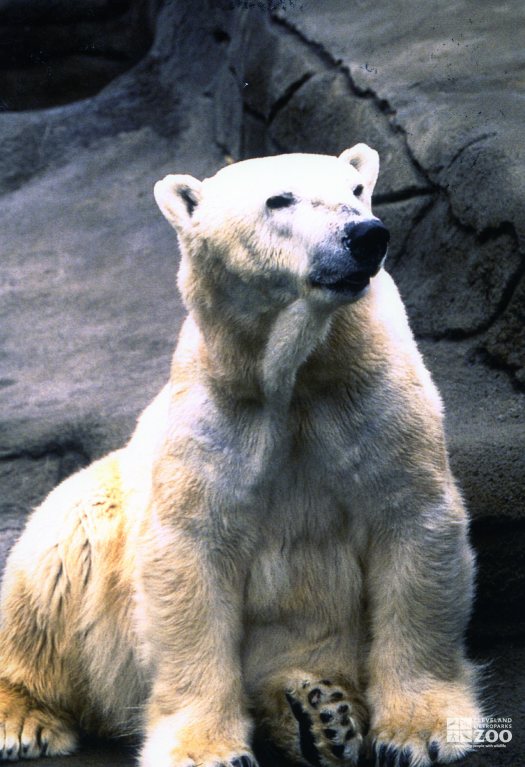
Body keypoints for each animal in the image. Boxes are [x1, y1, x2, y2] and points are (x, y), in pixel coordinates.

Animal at [0, 146, 482, 767]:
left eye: (356, 190)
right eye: (280, 198)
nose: (365, 235)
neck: (297, 380)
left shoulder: (376, 396)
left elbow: (413, 523)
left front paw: (418, 731)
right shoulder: (219, 417)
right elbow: (192, 556)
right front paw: (207, 749)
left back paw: (321, 713)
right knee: (59, 554)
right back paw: (23, 717)